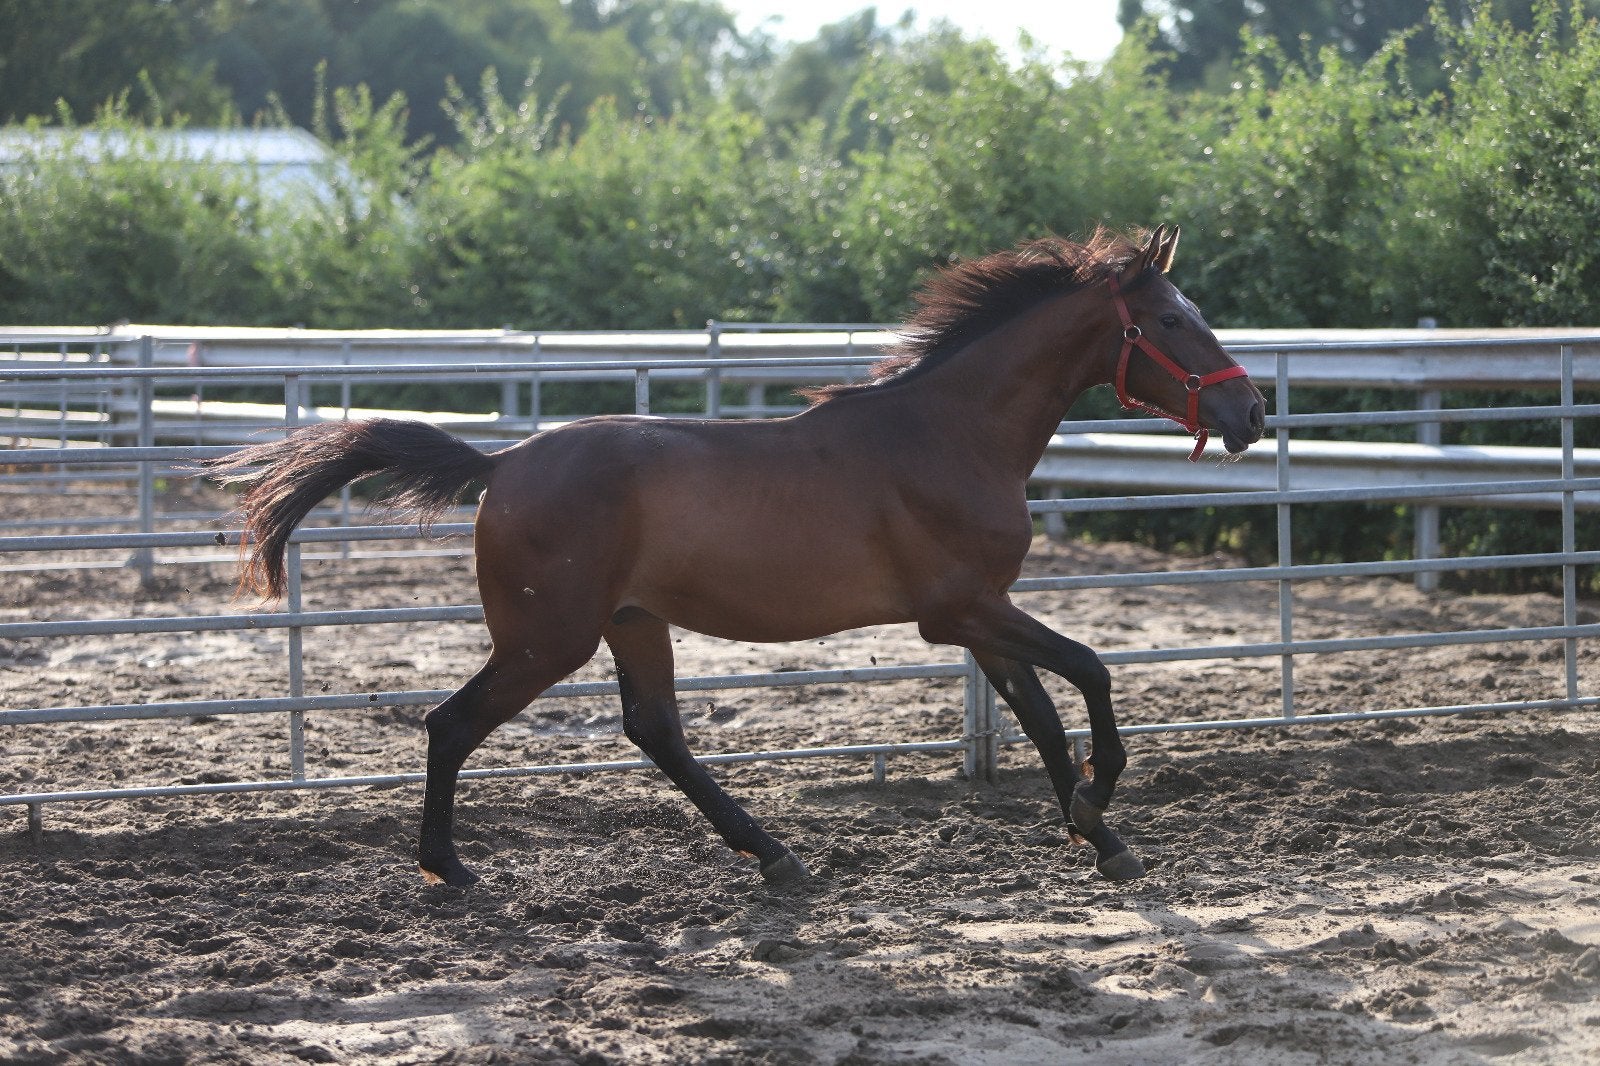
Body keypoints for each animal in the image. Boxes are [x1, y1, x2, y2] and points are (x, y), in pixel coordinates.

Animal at [204, 225, 1266, 889]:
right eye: (1172, 321)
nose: (1251, 413)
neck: (947, 434)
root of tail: (503, 464)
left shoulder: (981, 617)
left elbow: (1043, 717)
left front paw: (1099, 836)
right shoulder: (962, 610)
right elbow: (1091, 673)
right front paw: (1101, 801)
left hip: (633, 624)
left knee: (655, 732)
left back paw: (777, 858)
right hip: (548, 640)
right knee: (451, 723)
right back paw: (450, 868)